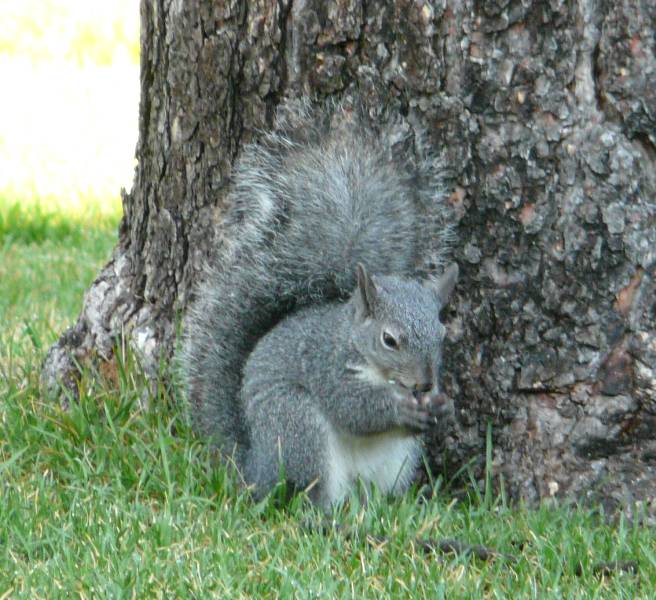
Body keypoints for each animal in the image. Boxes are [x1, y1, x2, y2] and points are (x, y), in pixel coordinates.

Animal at [178, 99, 456, 510]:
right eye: (389, 339)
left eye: (442, 334)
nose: (423, 384)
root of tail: (253, 469)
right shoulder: (326, 365)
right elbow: (352, 409)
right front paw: (397, 409)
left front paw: (441, 406)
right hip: (296, 426)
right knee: (308, 495)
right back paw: (328, 515)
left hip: (396, 462)